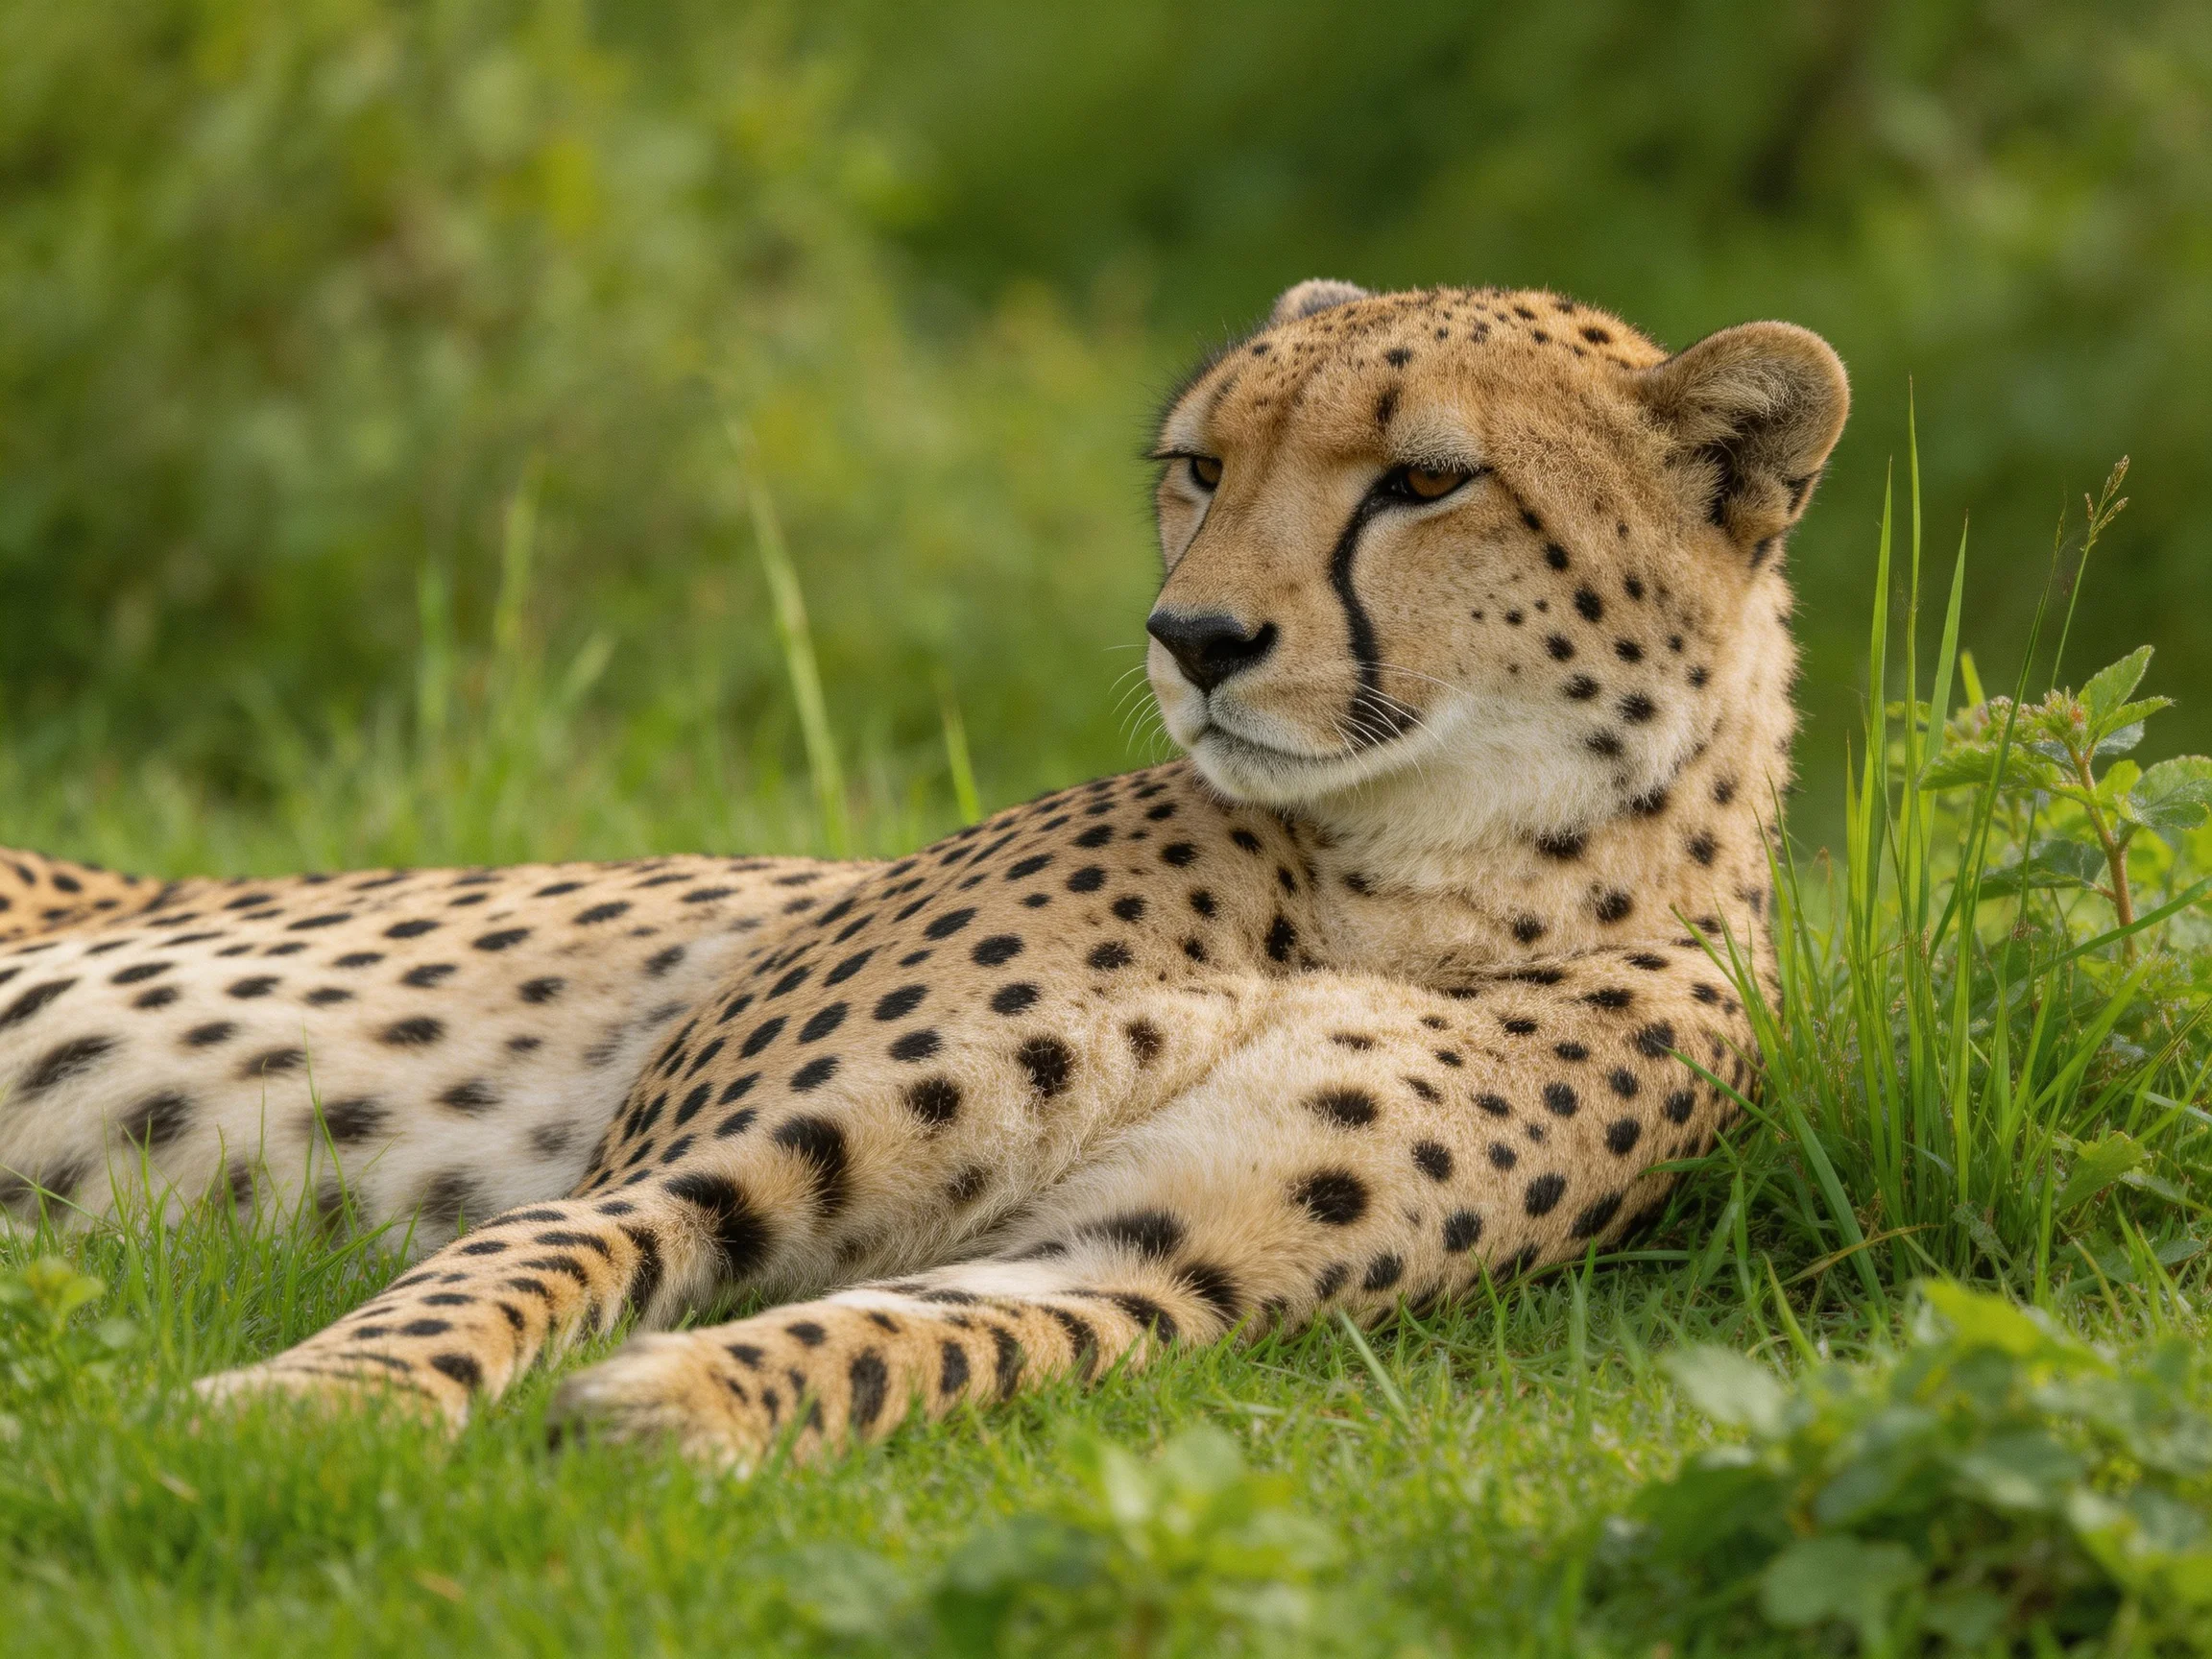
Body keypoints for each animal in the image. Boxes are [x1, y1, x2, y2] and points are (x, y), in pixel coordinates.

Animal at [0, 280, 1847, 1469]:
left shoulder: (1163, 1267)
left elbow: (941, 1336)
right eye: (1200, 465)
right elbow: (519, 1259)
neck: (1418, 880)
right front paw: (310, 1409)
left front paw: (693, 1404)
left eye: (1428, 479)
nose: (1194, 637)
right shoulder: (683, 1158)